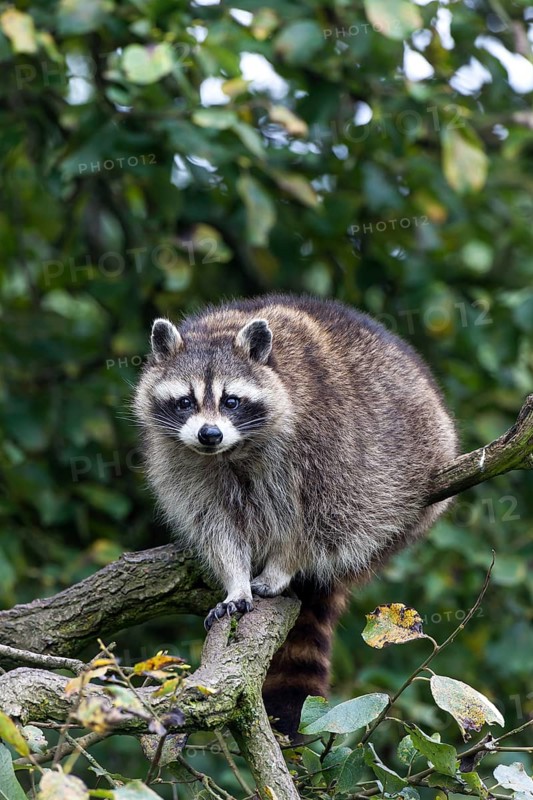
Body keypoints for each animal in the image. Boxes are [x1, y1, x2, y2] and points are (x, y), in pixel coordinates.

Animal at [134, 294, 457, 737]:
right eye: (185, 402)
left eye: (231, 401)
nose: (209, 434)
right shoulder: (181, 461)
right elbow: (215, 523)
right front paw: (235, 581)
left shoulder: (325, 435)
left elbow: (325, 515)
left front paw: (282, 566)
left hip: (414, 466)